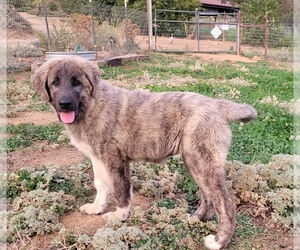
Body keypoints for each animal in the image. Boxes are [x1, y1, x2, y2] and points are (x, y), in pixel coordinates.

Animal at [32, 56, 258, 250]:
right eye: (55, 83)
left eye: (77, 82)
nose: (65, 104)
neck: (92, 105)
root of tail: (217, 105)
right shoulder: (97, 157)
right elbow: (101, 184)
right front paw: (96, 208)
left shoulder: (115, 158)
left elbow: (121, 188)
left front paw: (119, 216)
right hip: (196, 161)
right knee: (208, 197)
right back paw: (194, 219)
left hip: (201, 160)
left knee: (224, 201)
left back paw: (219, 241)